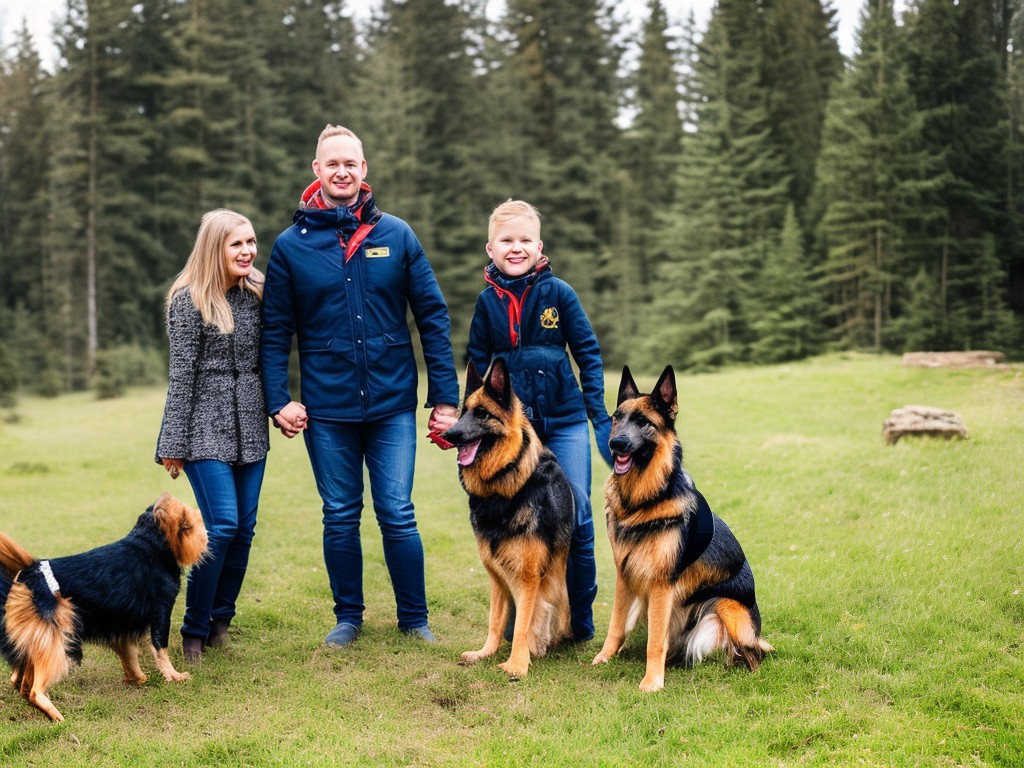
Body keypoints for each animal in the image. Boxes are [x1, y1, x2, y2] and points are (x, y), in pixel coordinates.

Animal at [0, 493, 207, 720]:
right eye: (189, 514)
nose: (165, 495)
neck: (149, 540)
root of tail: (31, 569)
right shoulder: (161, 612)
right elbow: (161, 648)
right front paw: (174, 676)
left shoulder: (121, 624)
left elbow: (129, 655)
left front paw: (137, 678)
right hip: (54, 642)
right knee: (35, 690)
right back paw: (57, 716)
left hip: (36, 640)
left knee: (20, 681)